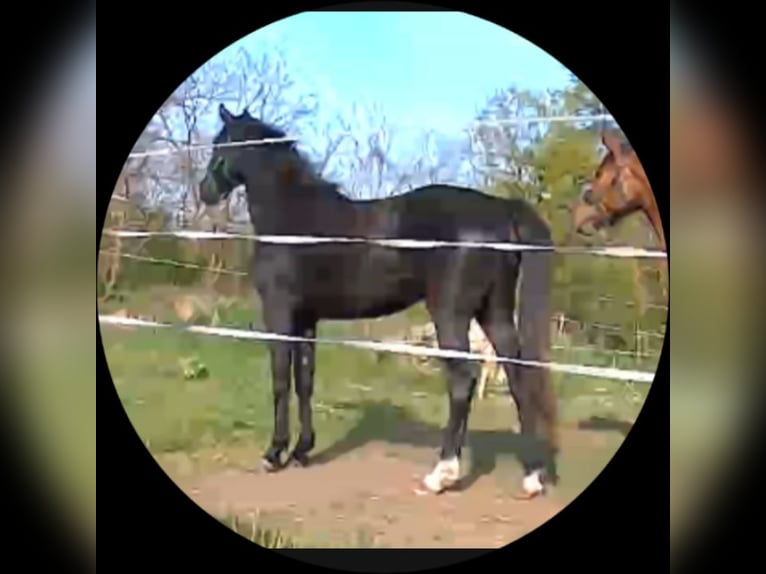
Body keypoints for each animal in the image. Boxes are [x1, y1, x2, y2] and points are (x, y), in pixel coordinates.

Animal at [198, 103, 559, 498]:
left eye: (221, 144)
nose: (205, 191)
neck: (293, 218)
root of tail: (500, 210)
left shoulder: (279, 313)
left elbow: (280, 379)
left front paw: (274, 454)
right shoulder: (306, 319)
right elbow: (305, 380)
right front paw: (302, 451)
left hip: (451, 314)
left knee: (462, 380)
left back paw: (441, 474)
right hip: (494, 312)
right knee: (517, 375)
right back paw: (531, 477)